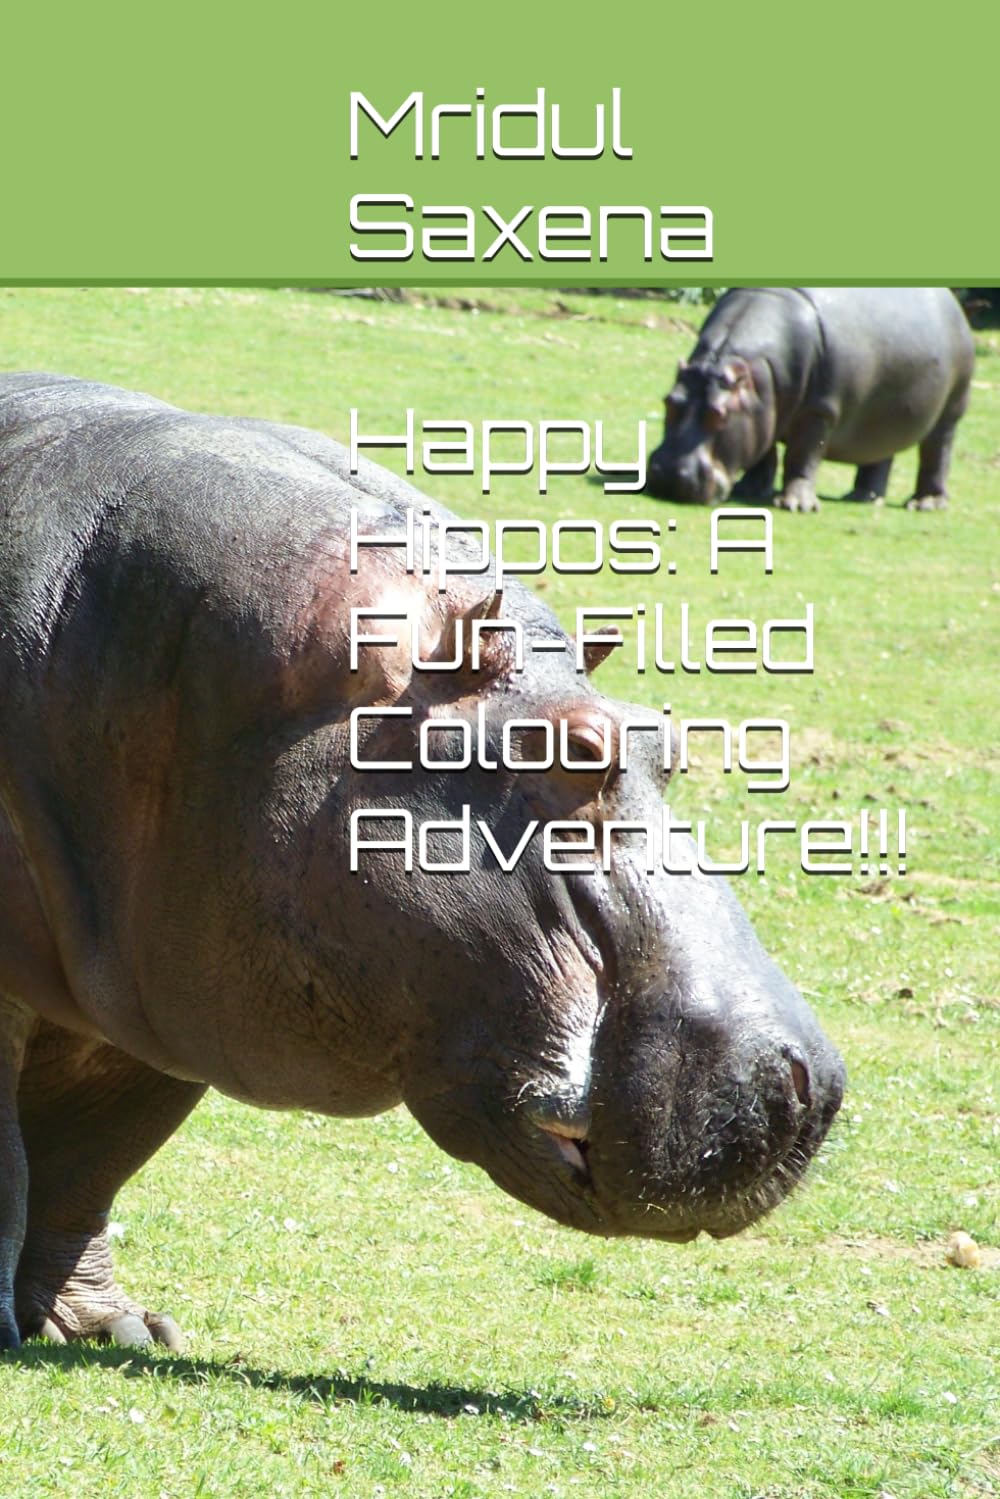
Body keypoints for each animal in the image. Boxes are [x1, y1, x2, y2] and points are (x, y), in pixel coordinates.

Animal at [0, 373, 844, 1353]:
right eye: (577, 747)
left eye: (663, 738)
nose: (806, 1084)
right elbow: (15, 1162)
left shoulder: (153, 996)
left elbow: (91, 1158)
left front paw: (115, 1328)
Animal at [646, 287, 975, 512]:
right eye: (669, 401)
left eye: (719, 414)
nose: (669, 477)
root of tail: (953, 302)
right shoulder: (763, 410)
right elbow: (763, 453)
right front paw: (749, 491)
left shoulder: (819, 409)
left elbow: (802, 455)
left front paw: (795, 505)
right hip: (884, 414)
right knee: (880, 453)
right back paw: (863, 497)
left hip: (950, 411)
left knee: (937, 452)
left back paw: (925, 504)